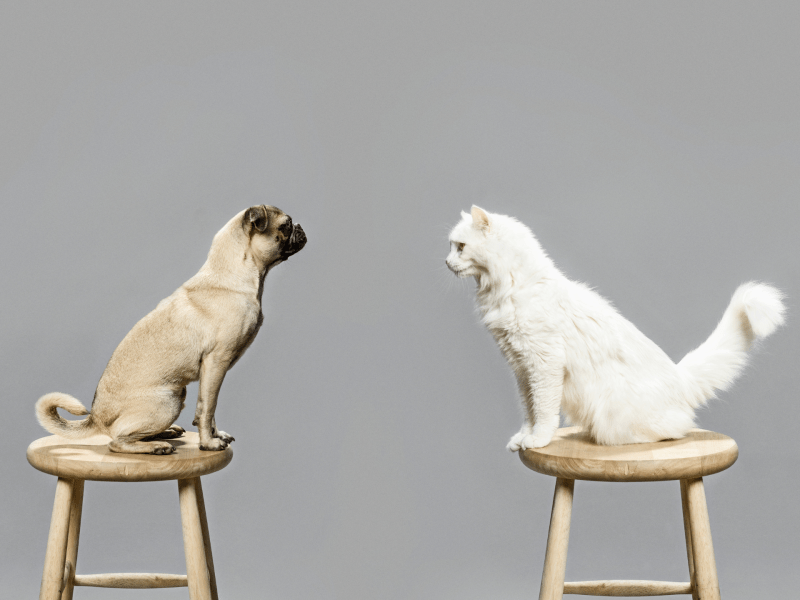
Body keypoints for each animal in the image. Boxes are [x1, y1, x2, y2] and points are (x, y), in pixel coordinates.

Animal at [34, 204, 304, 452]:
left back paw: (166, 433)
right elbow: (207, 408)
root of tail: (96, 418)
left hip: (177, 394)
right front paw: (208, 443)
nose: (300, 228)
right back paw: (155, 446)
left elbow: (208, 408)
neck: (232, 276)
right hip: (168, 402)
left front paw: (215, 435)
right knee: (117, 441)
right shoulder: (217, 362)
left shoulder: (212, 371)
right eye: (286, 225)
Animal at [446, 204, 784, 448]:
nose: (446, 262)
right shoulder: (521, 368)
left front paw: (538, 441)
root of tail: (680, 377)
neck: (505, 290)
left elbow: (543, 411)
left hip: (615, 412)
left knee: (678, 429)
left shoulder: (544, 365)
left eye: (460, 247)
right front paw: (522, 439)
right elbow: (529, 410)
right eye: (451, 246)